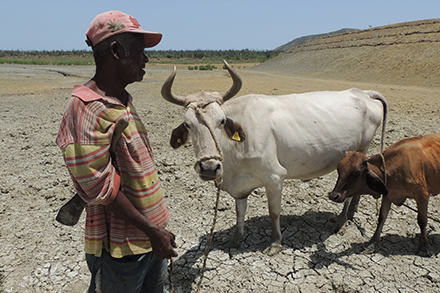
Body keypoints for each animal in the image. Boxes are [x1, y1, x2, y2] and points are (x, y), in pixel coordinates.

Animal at [161, 60, 384, 251]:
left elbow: (274, 212)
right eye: (188, 124)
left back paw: (341, 222)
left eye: (222, 121)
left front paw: (275, 243)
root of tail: (363, 93)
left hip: (361, 149)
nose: (209, 168)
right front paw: (234, 240)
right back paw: (351, 214)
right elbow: (239, 212)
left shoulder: (275, 177)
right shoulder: (240, 186)